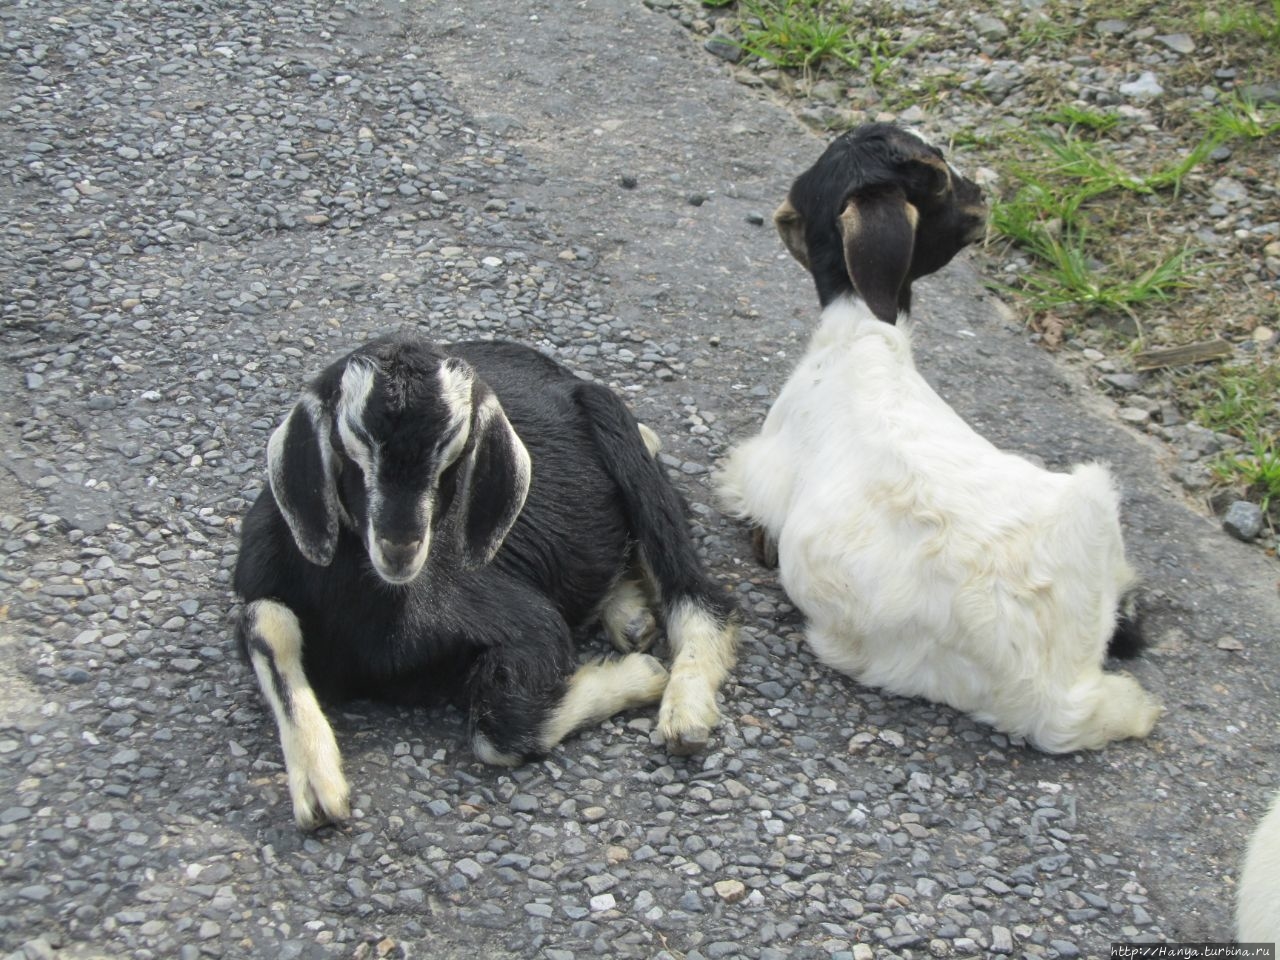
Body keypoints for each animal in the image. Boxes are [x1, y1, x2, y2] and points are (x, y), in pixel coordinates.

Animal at [238, 332, 742, 829]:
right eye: (351, 443)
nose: (399, 548)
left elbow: (502, 731)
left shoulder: (526, 624)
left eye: (455, 451)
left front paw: (643, 675)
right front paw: (317, 790)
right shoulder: (258, 578)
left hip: (616, 427)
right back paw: (629, 614)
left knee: (697, 588)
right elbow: (267, 625)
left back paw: (684, 708)